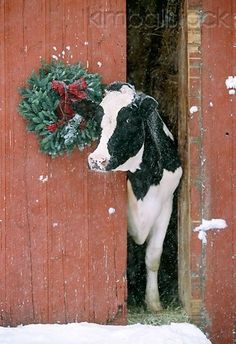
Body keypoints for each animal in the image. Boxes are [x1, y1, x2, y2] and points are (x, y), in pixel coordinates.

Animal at [88, 81, 183, 312]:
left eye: (129, 120)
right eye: (97, 119)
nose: (97, 160)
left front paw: (154, 302)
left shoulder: (166, 205)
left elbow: (153, 256)